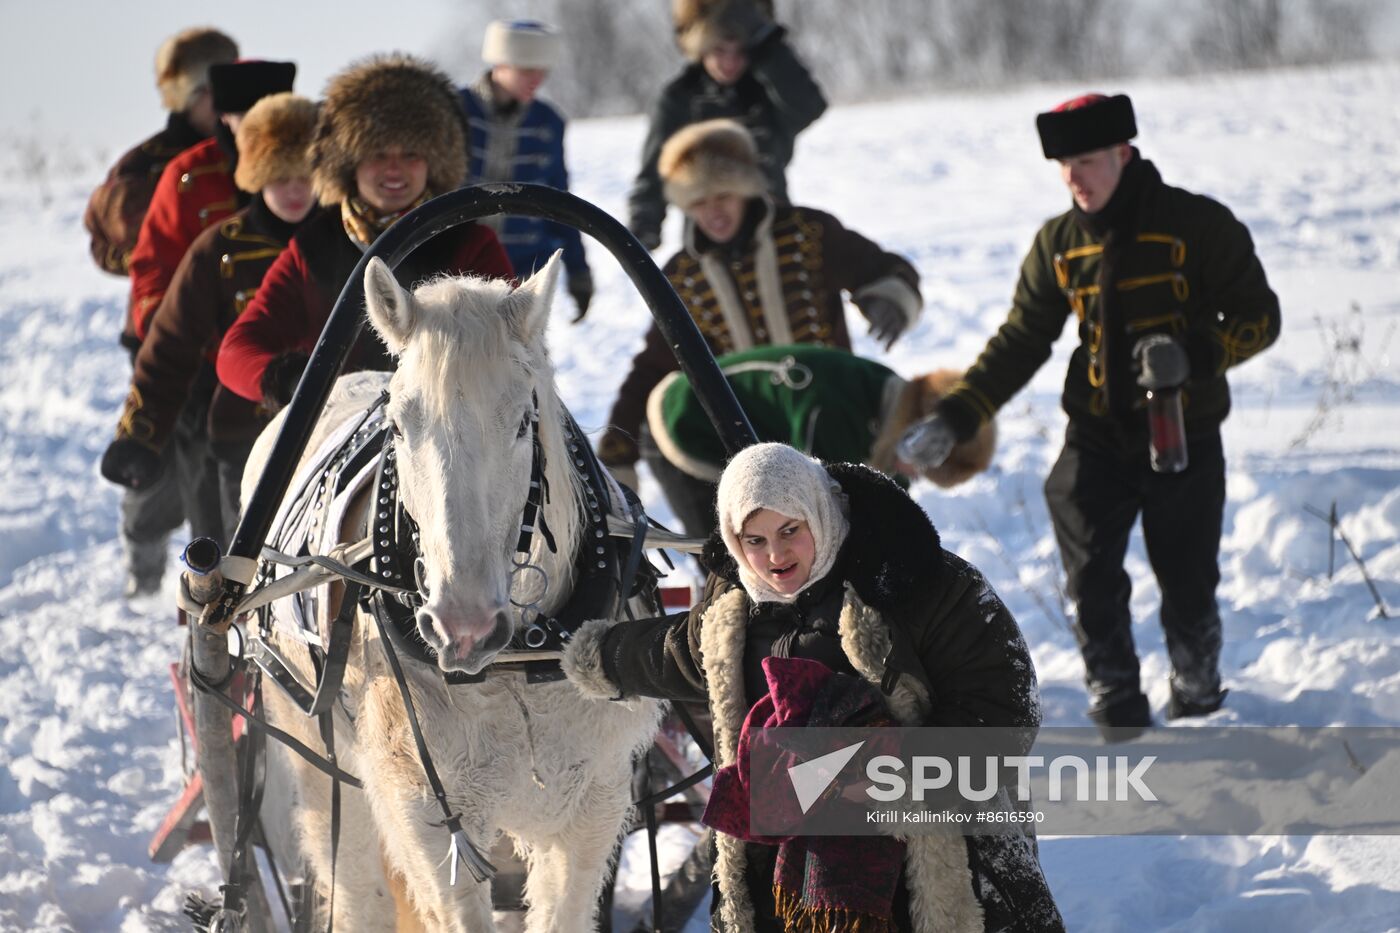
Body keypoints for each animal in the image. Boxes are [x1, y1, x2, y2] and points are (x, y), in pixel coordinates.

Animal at [243, 250, 663, 924]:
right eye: (399, 425)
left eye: (522, 422)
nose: (463, 626)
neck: (518, 665)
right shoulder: (431, 818)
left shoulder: (592, 807)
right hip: (318, 759)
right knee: (355, 888)